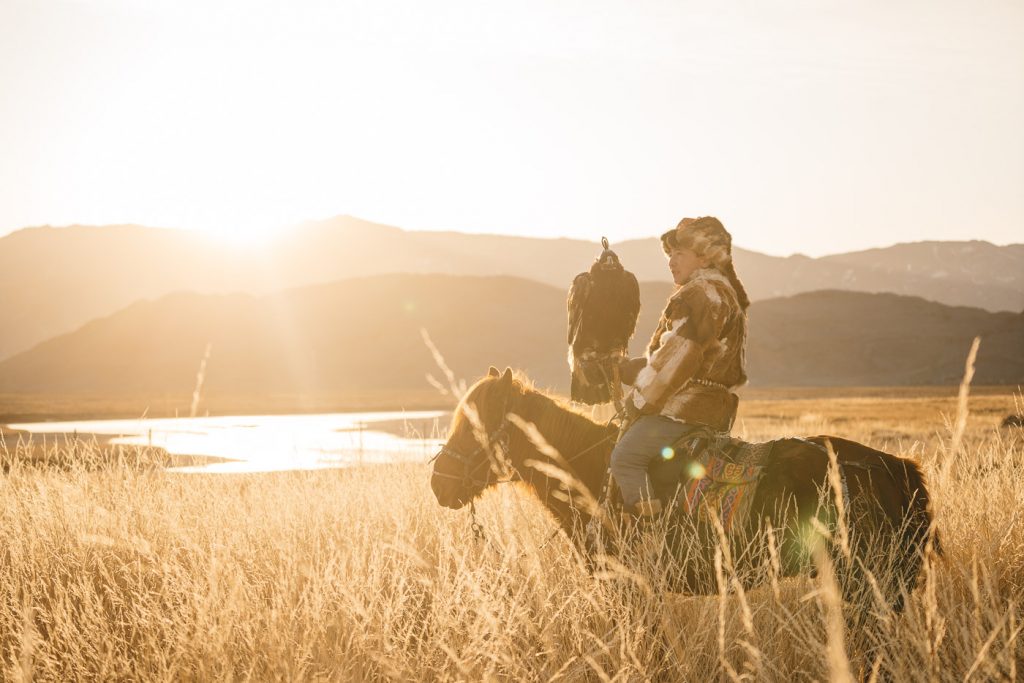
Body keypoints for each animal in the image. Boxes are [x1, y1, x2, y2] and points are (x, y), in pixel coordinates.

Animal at [428, 368, 937, 614]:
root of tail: (897, 468)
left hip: (869, 582)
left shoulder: (629, 585)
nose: (439, 484)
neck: (588, 470)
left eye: (474, 426)